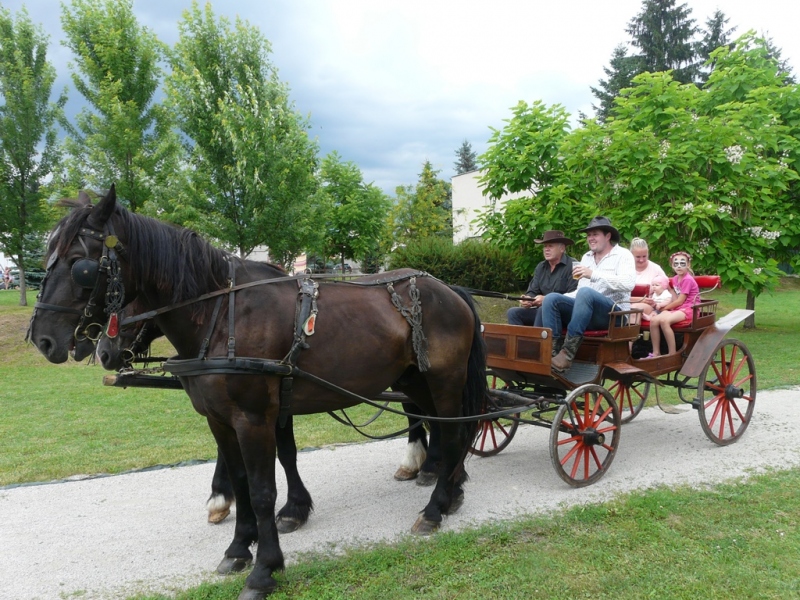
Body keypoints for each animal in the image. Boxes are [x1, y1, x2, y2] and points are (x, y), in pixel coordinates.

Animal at [28, 185, 484, 596]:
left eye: (80, 265)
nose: (45, 340)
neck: (221, 314)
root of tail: (449, 289)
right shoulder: (221, 420)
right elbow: (244, 480)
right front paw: (238, 547)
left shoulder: (254, 418)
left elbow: (264, 490)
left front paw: (265, 568)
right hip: (412, 380)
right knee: (440, 427)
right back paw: (448, 487)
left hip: (443, 381)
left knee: (456, 431)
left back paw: (435, 507)